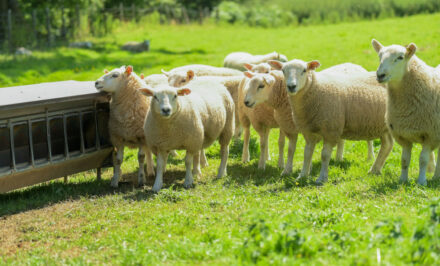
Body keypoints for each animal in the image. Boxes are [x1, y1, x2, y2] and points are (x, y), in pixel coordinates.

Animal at [372, 39, 440, 185]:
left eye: (400, 57)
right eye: (380, 56)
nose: (380, 75)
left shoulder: (430, 134)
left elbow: (423, 160)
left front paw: (421, 182)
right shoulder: (403, 135)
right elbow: (404, 160)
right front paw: (402, 180)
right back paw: (436, 176)